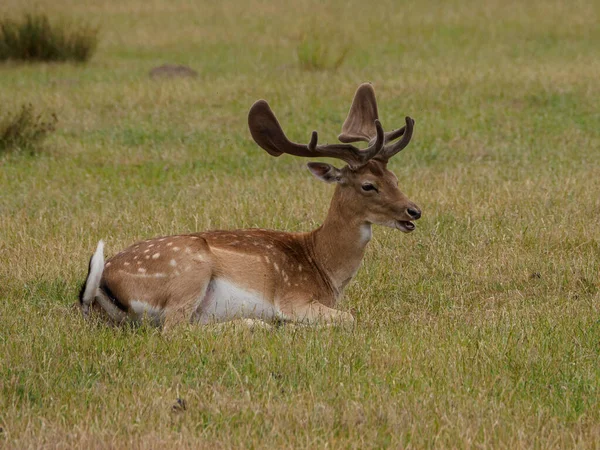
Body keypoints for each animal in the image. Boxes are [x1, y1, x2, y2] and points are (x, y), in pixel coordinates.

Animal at [78, 82, 422, 328]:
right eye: (368, 185)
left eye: (394, 177)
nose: (414, 211)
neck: (324, 268)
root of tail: (97, 290)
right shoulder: (294, 297)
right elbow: (350, 318)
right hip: (189, 270)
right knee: (173, 329)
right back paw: (259, 323)